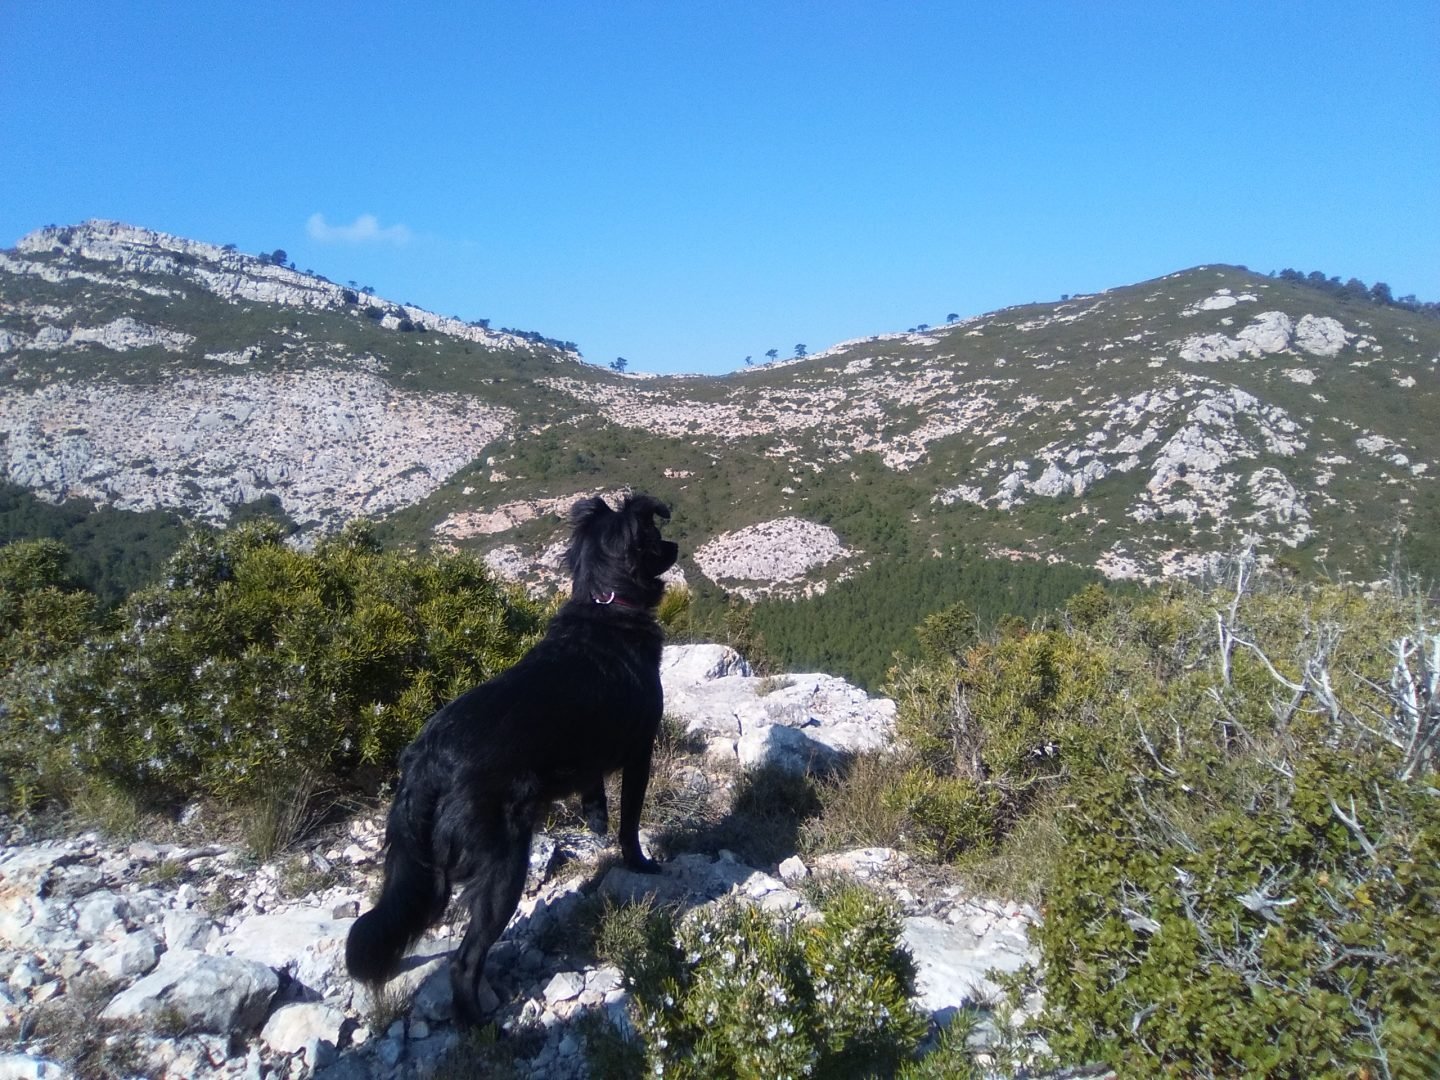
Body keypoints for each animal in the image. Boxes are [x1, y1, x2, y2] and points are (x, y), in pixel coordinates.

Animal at [345, 492, 677, 1026]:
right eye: (655, 536)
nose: (675, 546)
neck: (605, 605)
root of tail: (426, 762)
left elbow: (594, 790)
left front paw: (594, 818)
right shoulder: (640, 750)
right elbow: (630, 823)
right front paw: (641, 863)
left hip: (422, 871)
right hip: (503, 866)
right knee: (465, 961)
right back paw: (480, 1024)